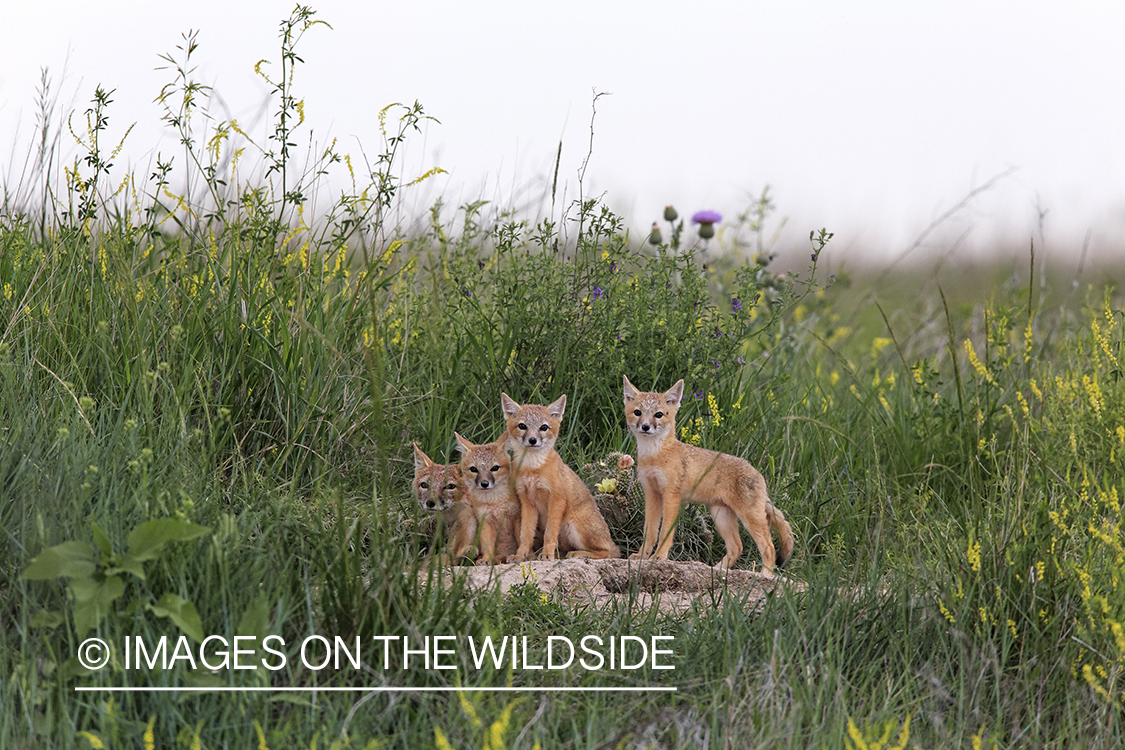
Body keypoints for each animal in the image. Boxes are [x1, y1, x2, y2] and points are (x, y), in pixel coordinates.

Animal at [453, 433, 522, 564]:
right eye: (474, 469)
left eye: (495, 468)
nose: (484, 483)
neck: (495, 502)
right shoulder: (485, 520)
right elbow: (487, 544)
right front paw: (486, 558)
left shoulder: (516, 516)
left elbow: (522, 538)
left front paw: (525, 555)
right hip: (470, 517)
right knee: (456, 554)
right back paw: (469, 553)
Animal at [501, 393, 620, 561]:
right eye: (522, 426)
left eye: (544, 427)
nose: (532, 440)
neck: (533, 467)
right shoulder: (527, 502)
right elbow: (525, 534)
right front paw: (521, 555)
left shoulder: (556, 500)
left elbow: (549, 533)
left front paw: (547, 555)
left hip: (574, 527)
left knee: (606, 553)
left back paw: (576, 554)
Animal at [622, 376, 794, 574]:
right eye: (637, 412)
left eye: (658, 414)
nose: (645, 426)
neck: (654, 456)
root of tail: (757, 472)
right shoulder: (651, 494)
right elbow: (649, 532)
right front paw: (642, 555)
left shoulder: (671, 496)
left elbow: (665, 532)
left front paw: (659, 557)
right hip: (721, 516)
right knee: (737, 547)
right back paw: (718, 570)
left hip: (749, 518)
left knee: (769, 546)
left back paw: (764, 574)